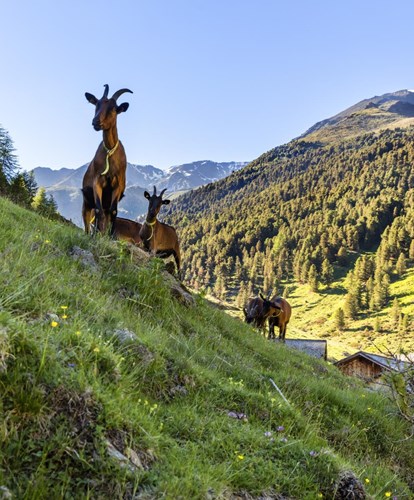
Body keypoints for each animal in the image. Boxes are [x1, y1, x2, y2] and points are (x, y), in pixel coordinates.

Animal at [81, 83, 133, 234]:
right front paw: (94, 236)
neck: (110, 150)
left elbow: (114, 211)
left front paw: (109, 236)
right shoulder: (97, 181)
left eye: (113, 108)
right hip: (86, 202)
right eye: (96, 104)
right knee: (88, 219)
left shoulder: (118, 184)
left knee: (106, 215)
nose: (96, 122)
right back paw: (90, 234)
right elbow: (98, 211)